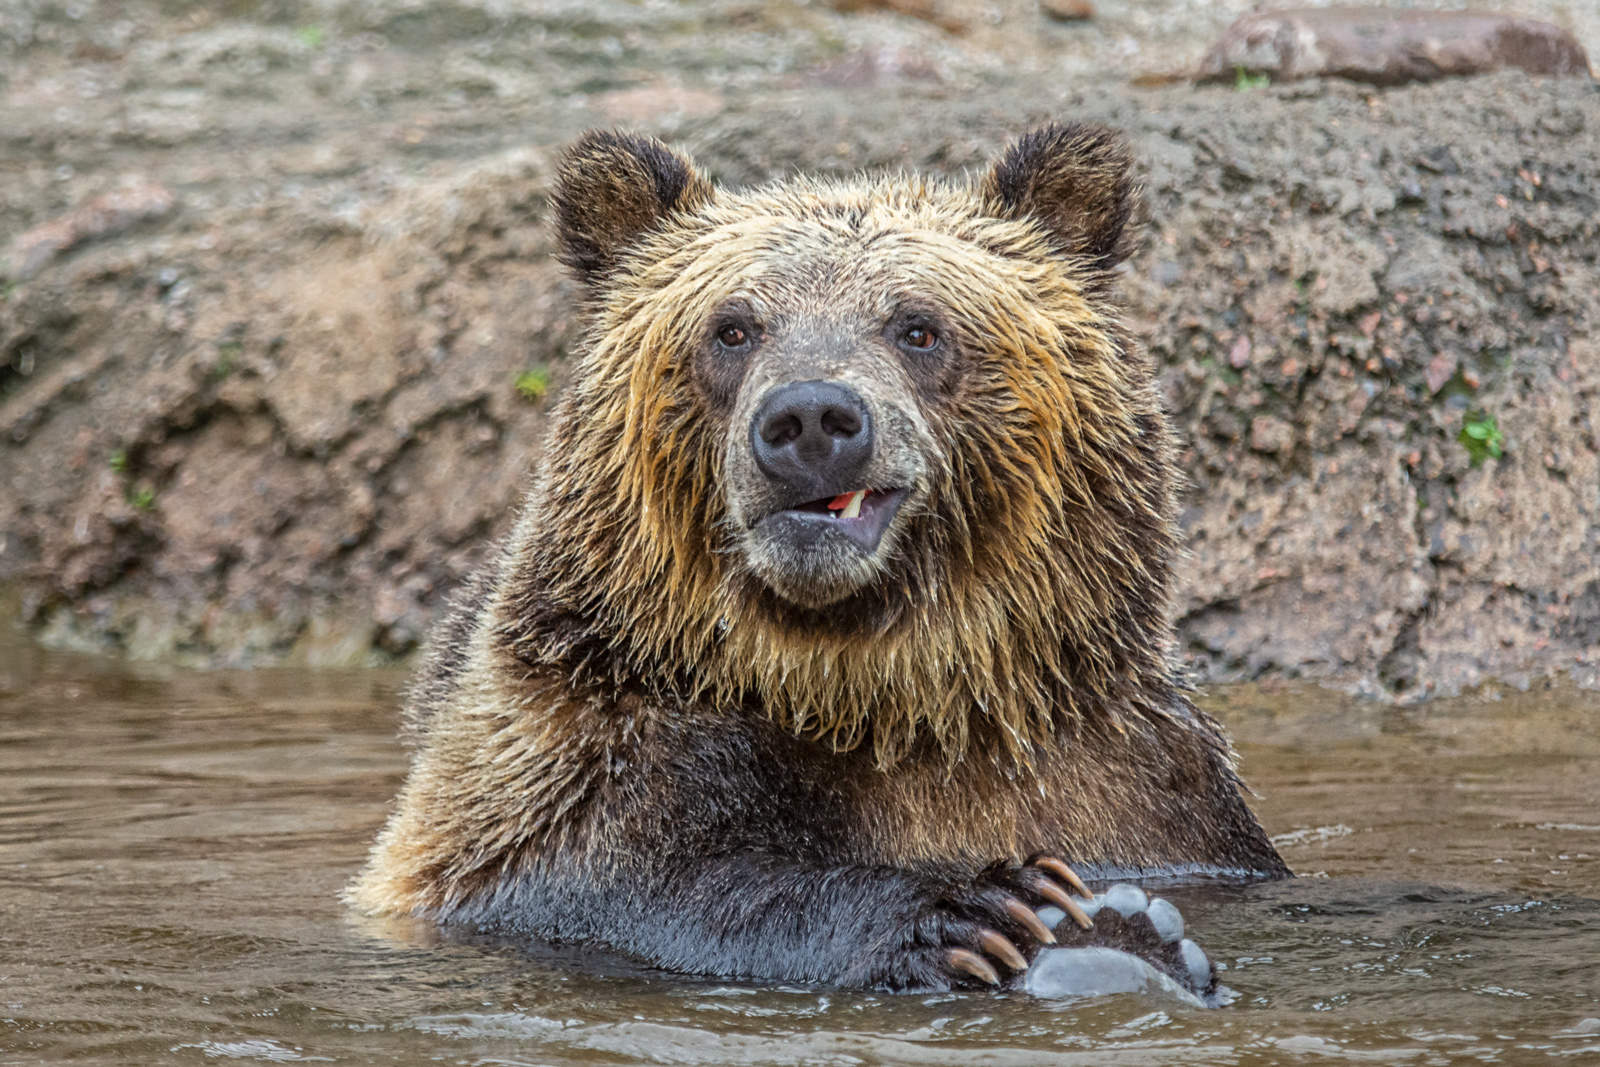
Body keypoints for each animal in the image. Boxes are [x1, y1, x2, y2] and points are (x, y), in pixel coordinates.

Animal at [347, 123, 1289, 994]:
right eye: (732, 328)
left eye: (917, 325)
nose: (808, 418)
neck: (860, 684)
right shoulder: (571, 737)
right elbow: (593, 873)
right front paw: (999, 913)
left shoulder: (1131, 782)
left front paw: (1110, 928)